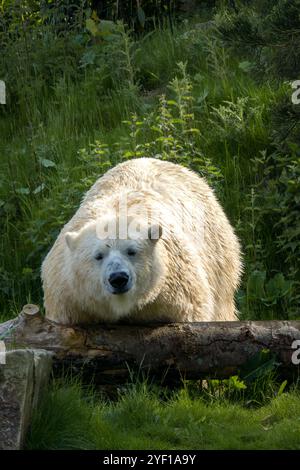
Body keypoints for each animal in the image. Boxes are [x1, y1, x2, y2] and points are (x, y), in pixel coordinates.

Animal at [41, 158, 241, 324]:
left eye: (131, 251)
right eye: (98, 256)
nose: (118, 278)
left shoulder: (175, 294)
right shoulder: (70, 298)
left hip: (218, 250)